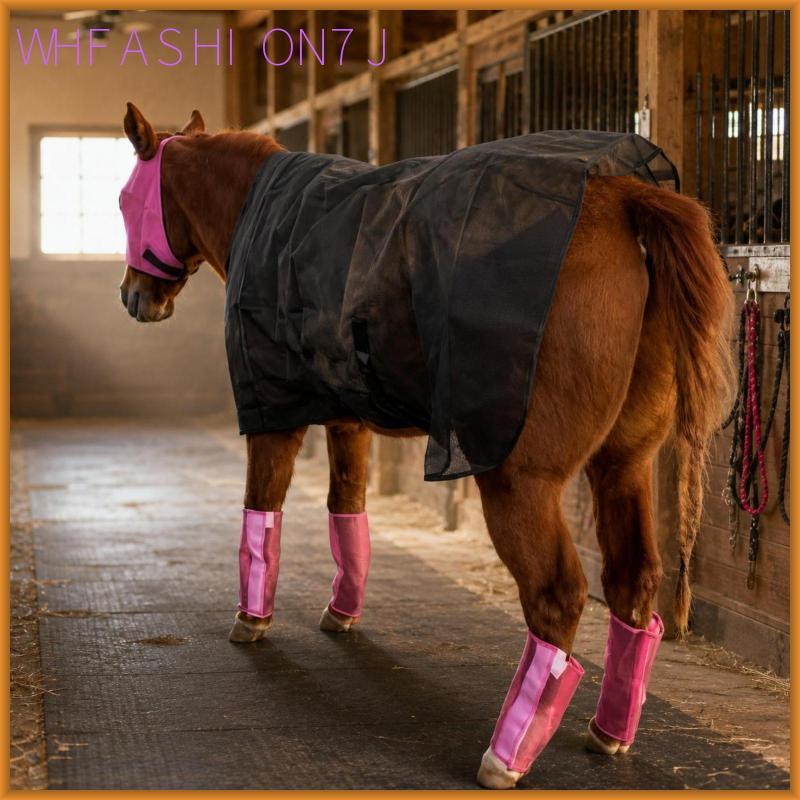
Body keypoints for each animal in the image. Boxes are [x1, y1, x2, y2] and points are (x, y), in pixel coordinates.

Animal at [117, 102, 733, 788]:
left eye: (125, 199)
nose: (134, 296)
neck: (271, 213)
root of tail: (622, 198)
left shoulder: (274, 412)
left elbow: (262, 511)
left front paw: (251, 621)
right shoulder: (349, 417)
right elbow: (347, 508)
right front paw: (342, 612)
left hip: (520, 478)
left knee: (558, 596)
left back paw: (506, 755)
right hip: (624, 464)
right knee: (632, 580)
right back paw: (609, 733)